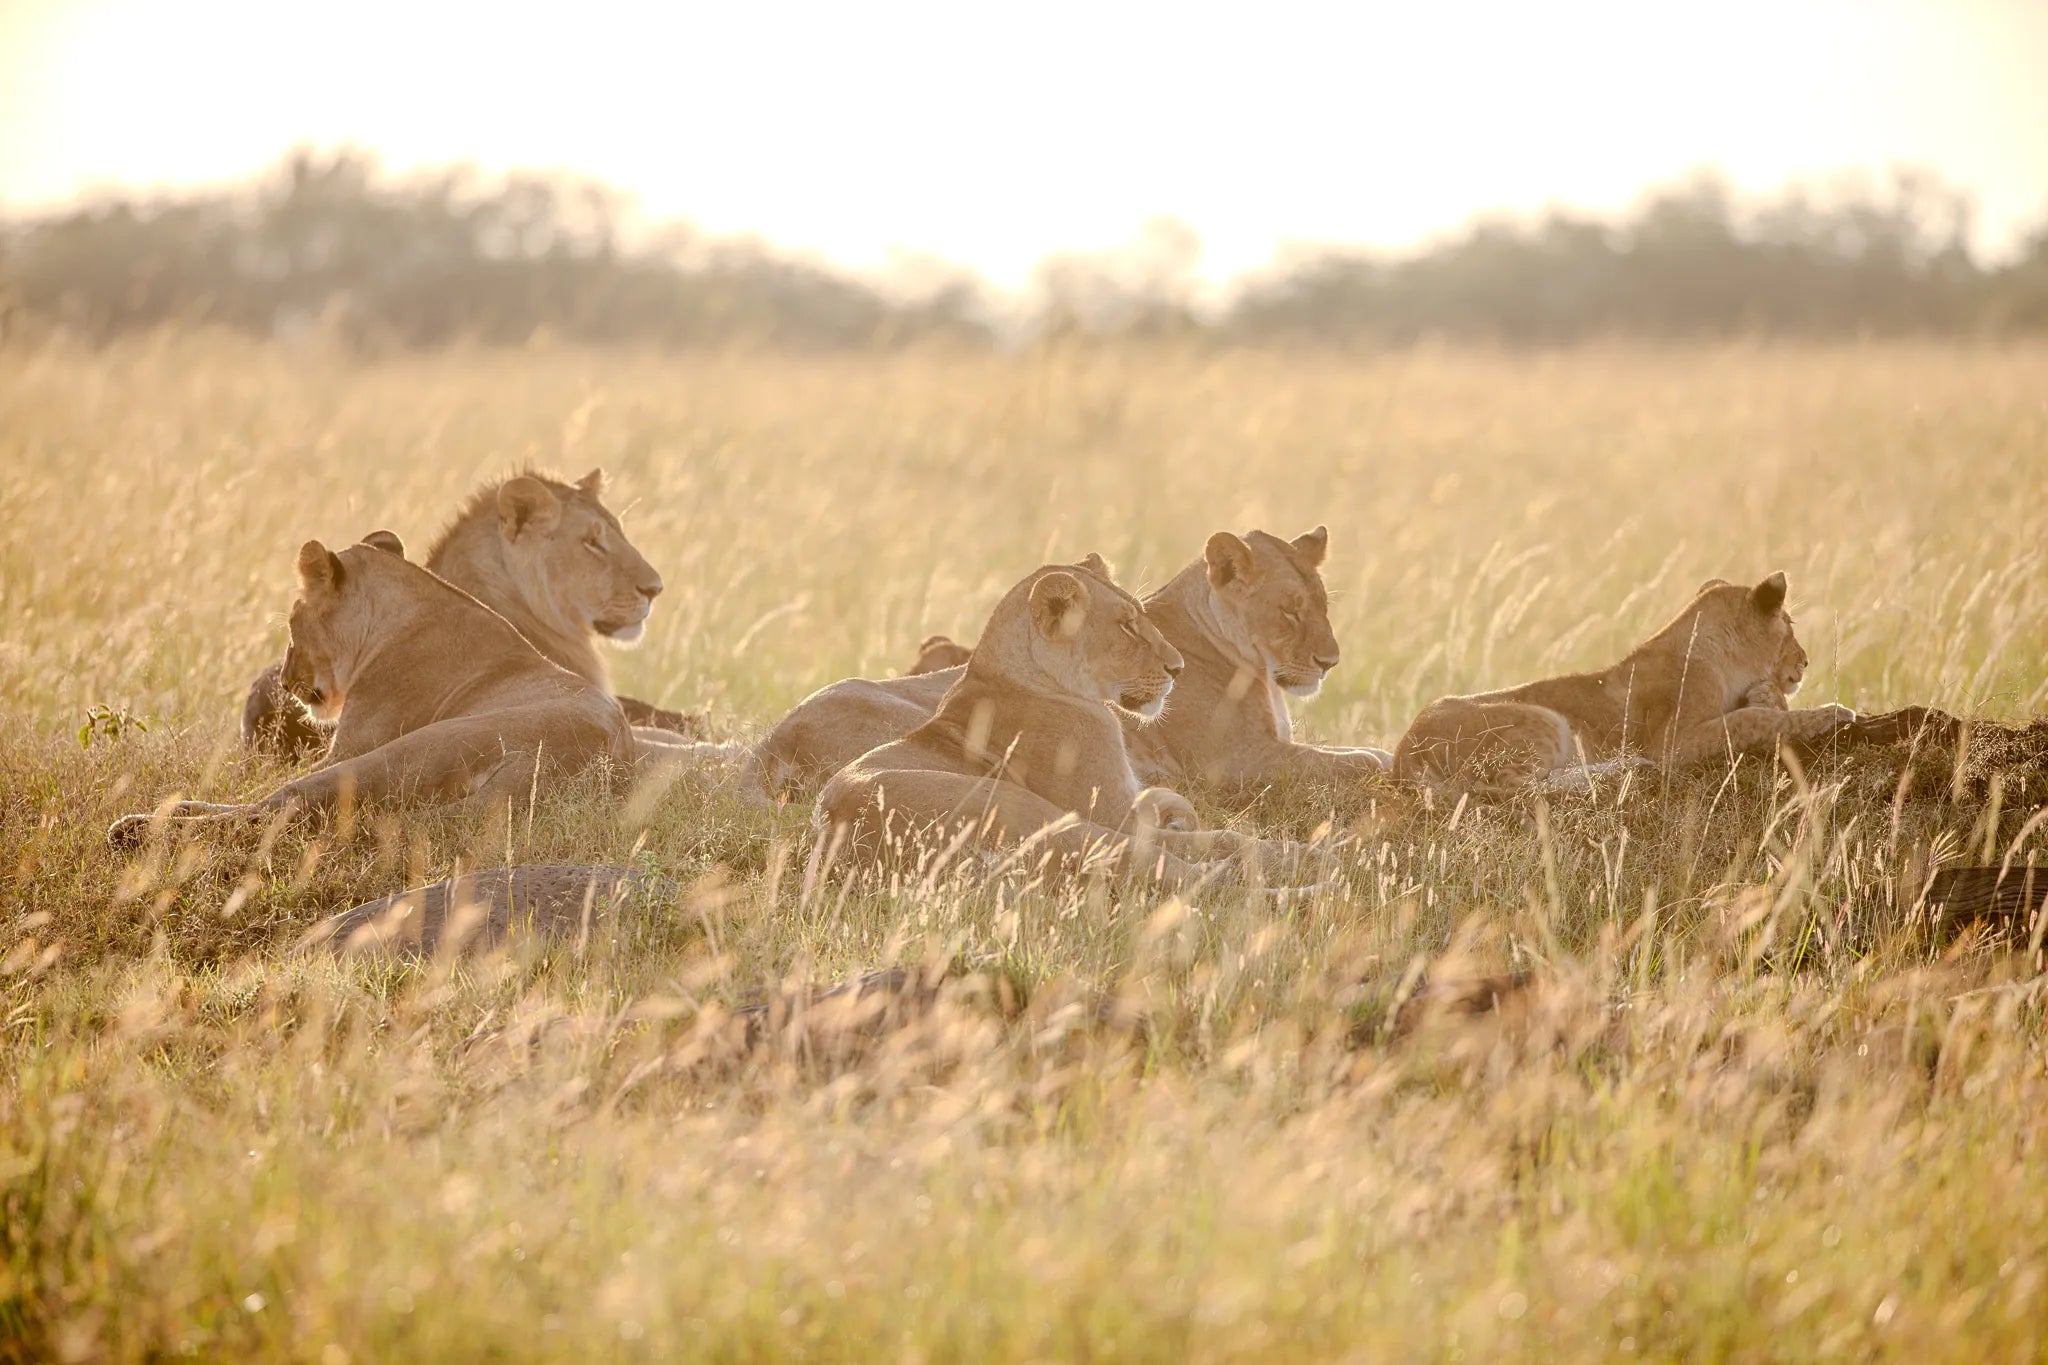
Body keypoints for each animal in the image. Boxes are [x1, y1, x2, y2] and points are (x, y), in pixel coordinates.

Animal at [111, 532, 634, 846]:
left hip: (408, 752)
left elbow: (262, 786)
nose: (286, 680)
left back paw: (138, 829)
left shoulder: (351, 746)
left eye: (292, 623)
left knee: (281, 806)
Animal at [752, 525, 1390, 800]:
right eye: (1289, 611)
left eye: (1323, 606)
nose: (1331, 662)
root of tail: (770, 742)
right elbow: (1357, 761)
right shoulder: (1232, 760)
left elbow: (1363, 751)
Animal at [808, 555, 1282, 889]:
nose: (1177, 668)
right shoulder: (1115, 816)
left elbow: (1161, 796)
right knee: (1204, 872)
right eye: (1127, 627)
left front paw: (1176, 811)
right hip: (1057, 823)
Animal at [1391, 571, 1856, 795]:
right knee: (1515, 787)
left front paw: (1768, 695)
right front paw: (1832, 713)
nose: (1806, 661)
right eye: (1790, 624)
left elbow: (1760, 709)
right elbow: (1752, 721)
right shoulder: (1672, 743)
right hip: (1540, 718)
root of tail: (1403, 752)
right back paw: (1622, 768)